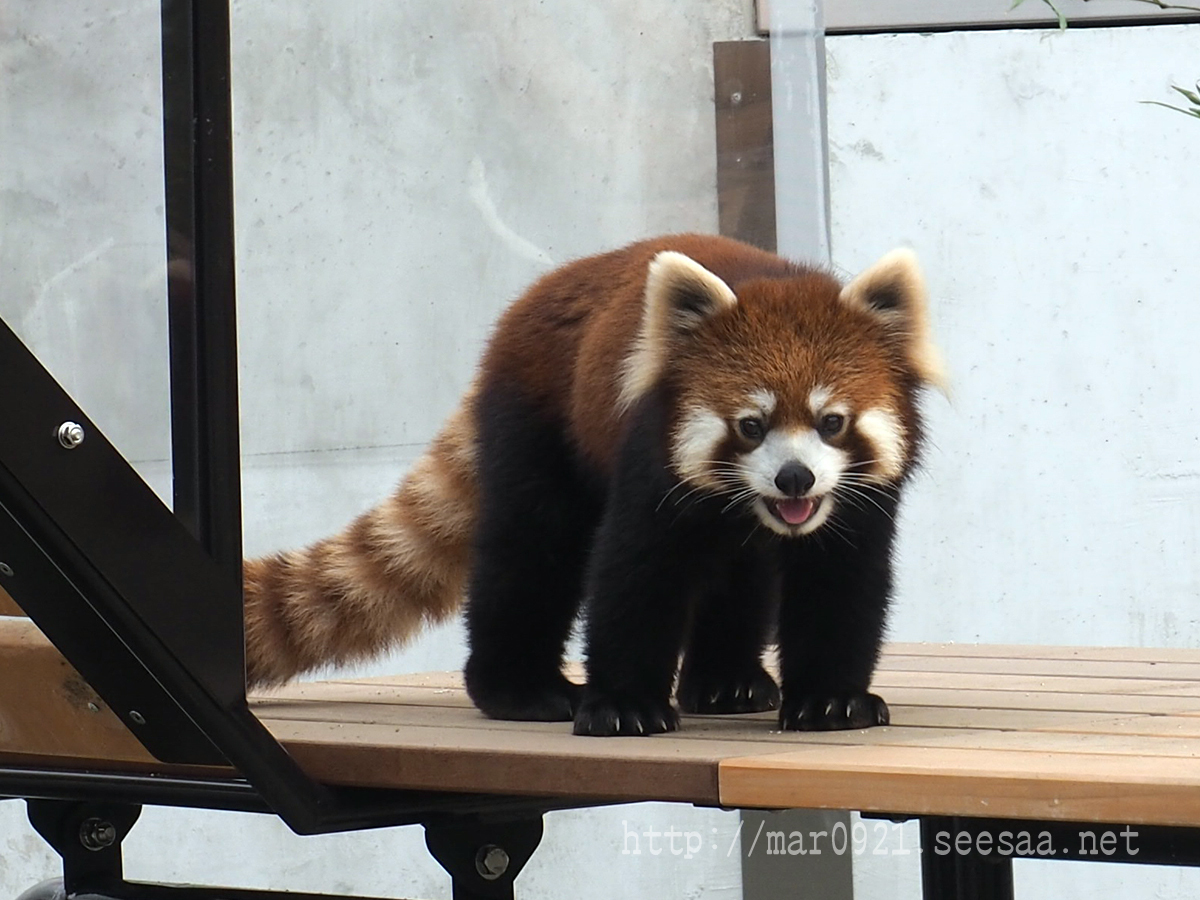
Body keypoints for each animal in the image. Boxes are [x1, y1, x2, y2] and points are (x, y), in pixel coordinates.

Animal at [246, 236, 945, 734]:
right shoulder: (648, 459)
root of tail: (533, 297)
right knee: (532, 551)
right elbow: (635, 572)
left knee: (739, 571)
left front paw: (831, 700)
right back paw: (522, 689)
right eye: (751, 425)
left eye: (832, 422)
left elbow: (842, 582)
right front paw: (624, 706)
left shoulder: (856, 502)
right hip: (540, 421)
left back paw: (727, 683)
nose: (793, 477)